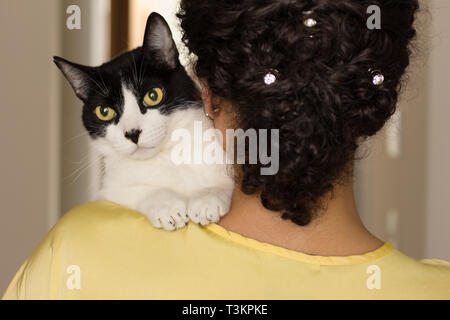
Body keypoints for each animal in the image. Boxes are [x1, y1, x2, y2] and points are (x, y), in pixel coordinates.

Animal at [54, 12, 234, 230]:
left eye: (153, 95)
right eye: (104, 111)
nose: (132, 133)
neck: (165, 159)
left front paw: (207, 197)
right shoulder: (110, 189)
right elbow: (134, 190)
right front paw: (167, 206)